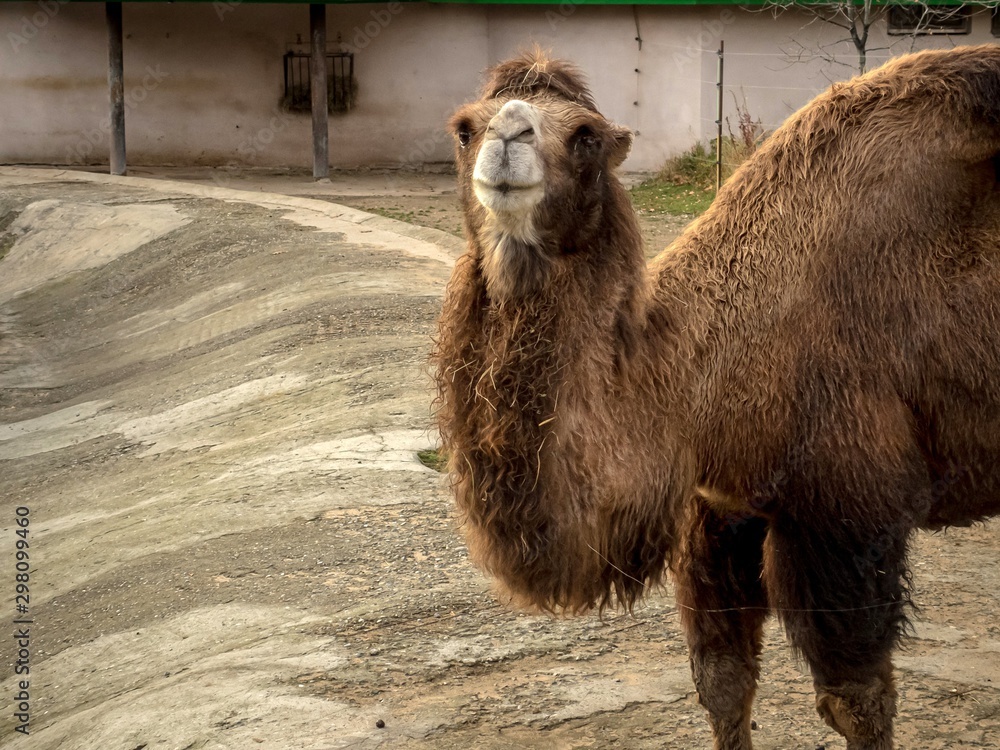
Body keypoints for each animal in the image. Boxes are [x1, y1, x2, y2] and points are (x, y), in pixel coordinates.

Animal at [433, 46, 1000, 749]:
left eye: (586, 135)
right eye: (464, 128)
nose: (508, 138)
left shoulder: (849, 505)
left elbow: (858, 703)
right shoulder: (717, 510)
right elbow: (722, 684)